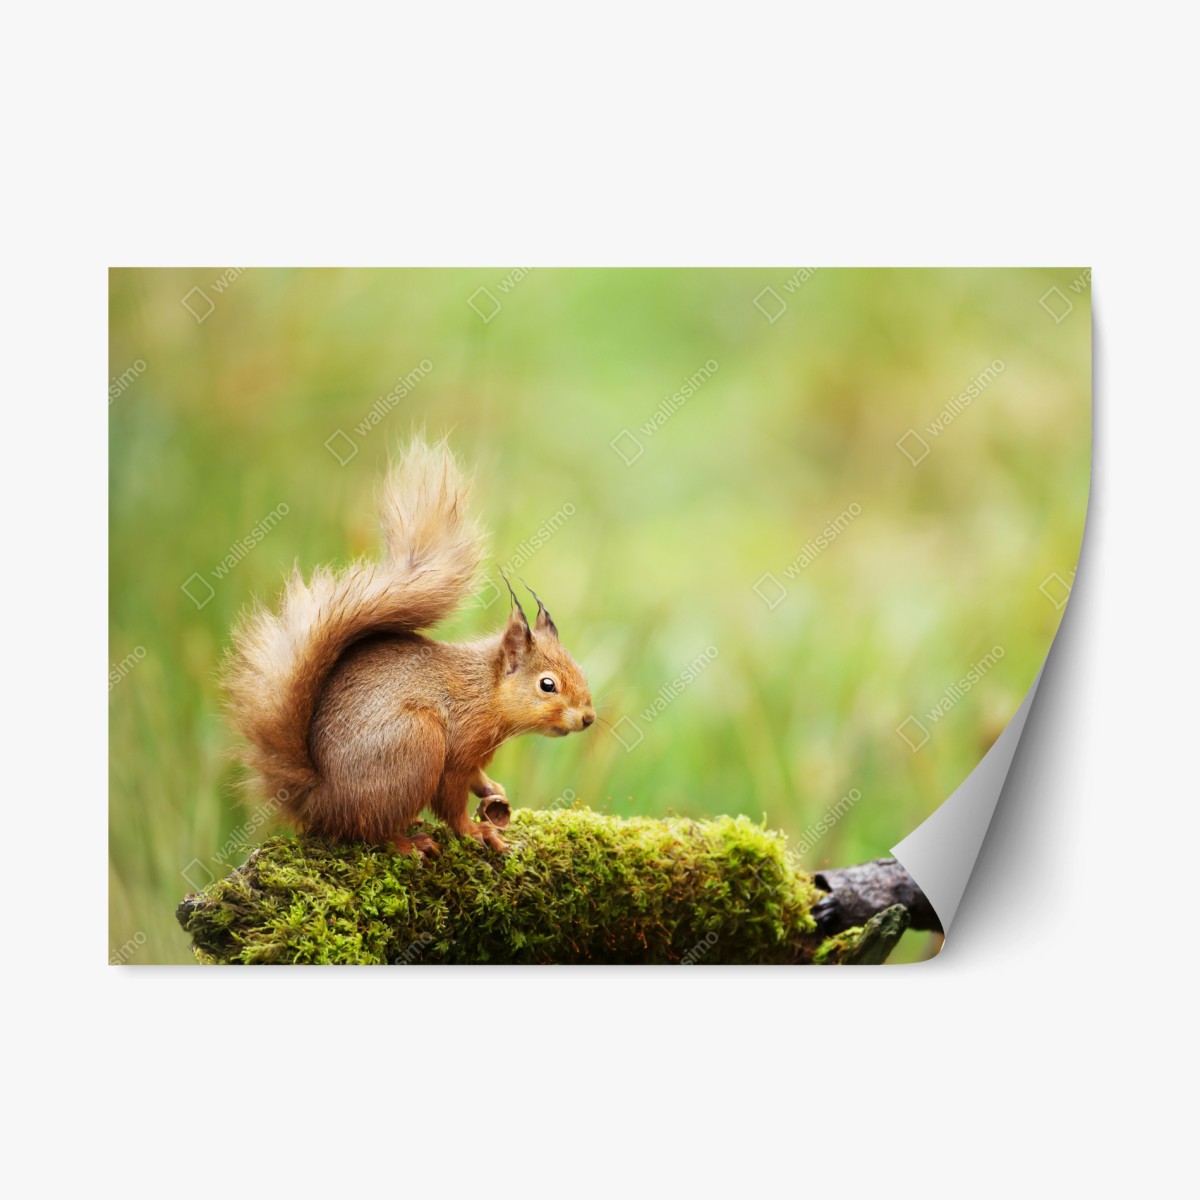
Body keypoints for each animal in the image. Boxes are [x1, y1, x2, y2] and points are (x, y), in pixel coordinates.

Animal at [224, 438, 595, 857]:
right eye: (547, 685)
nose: (588, 718)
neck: (485, 691)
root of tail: (317, 800)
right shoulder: (457, 750)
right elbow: (451, 800)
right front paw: (476, 831)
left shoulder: (474, 756)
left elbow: (476, 778)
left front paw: (492, 790)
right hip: (417, 745)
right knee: (370, 830)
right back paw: (408, 842)